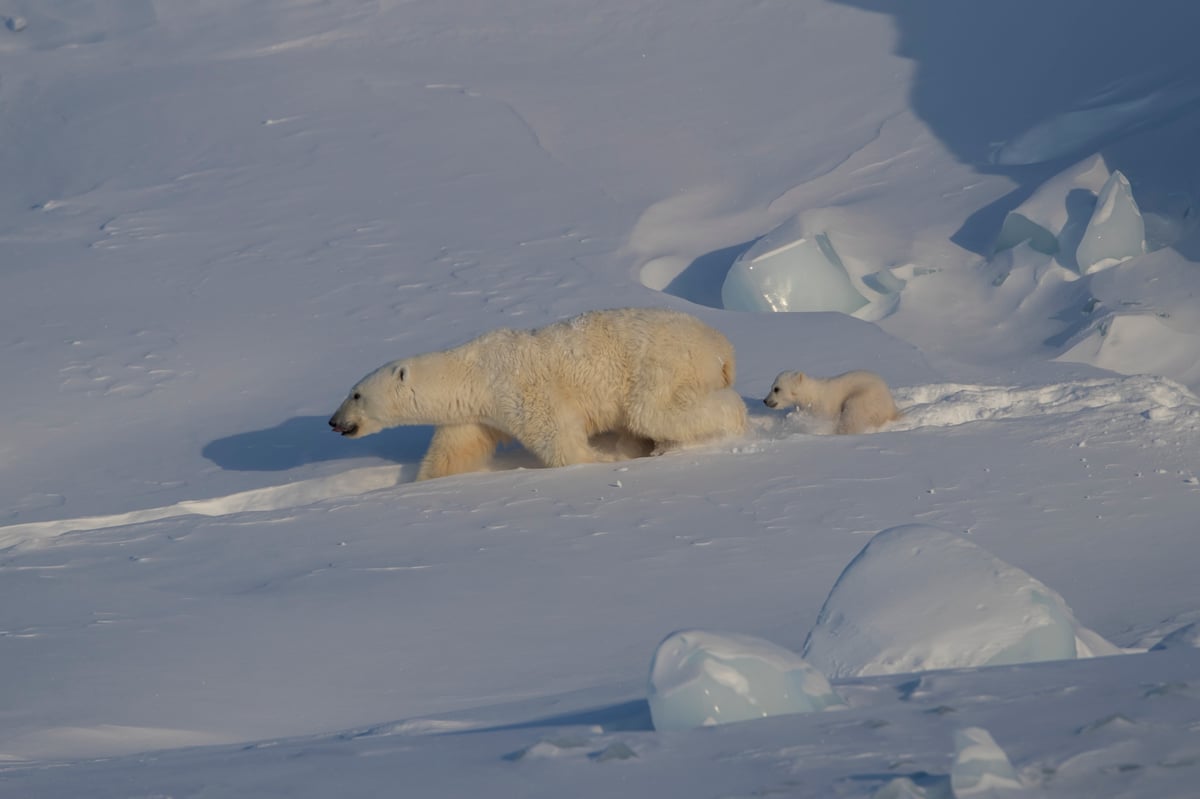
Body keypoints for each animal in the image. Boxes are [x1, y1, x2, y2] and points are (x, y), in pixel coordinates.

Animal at [326, 305, 739, 479]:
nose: (333, 421)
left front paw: (595, 461)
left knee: (653, 411)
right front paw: (425, 482)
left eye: (356, 394)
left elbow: (559, 438)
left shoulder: (520, 390)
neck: (475, 370)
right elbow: (452, 452)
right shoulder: (476, 414)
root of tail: (721, 346)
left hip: (663, 364)